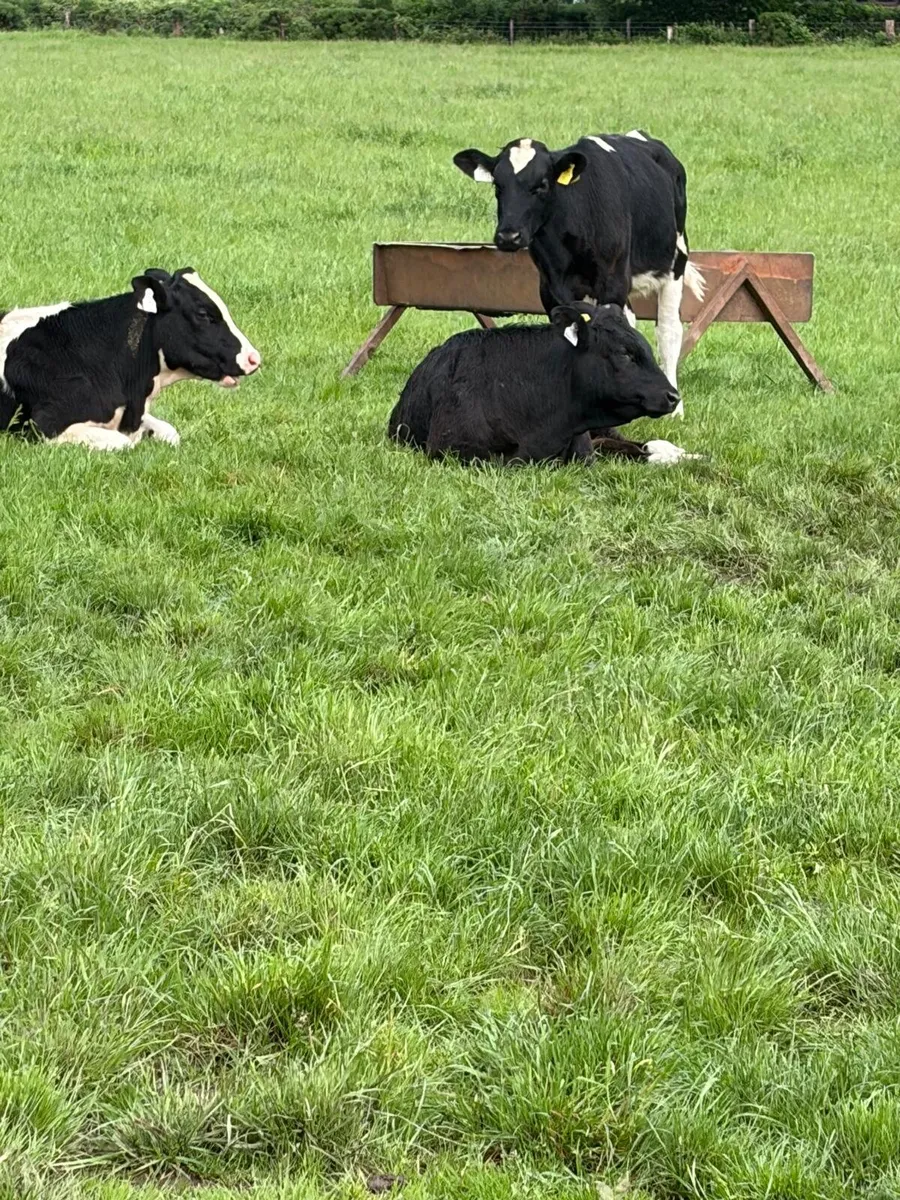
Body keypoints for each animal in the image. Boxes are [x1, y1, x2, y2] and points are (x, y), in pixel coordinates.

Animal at [453, 130, 705, 418]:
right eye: (497, 186)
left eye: (542, 184)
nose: (508, 236)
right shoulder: (550, 287)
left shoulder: (613, 279)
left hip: (674, 262)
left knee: (668, 330)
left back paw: (675, 410)